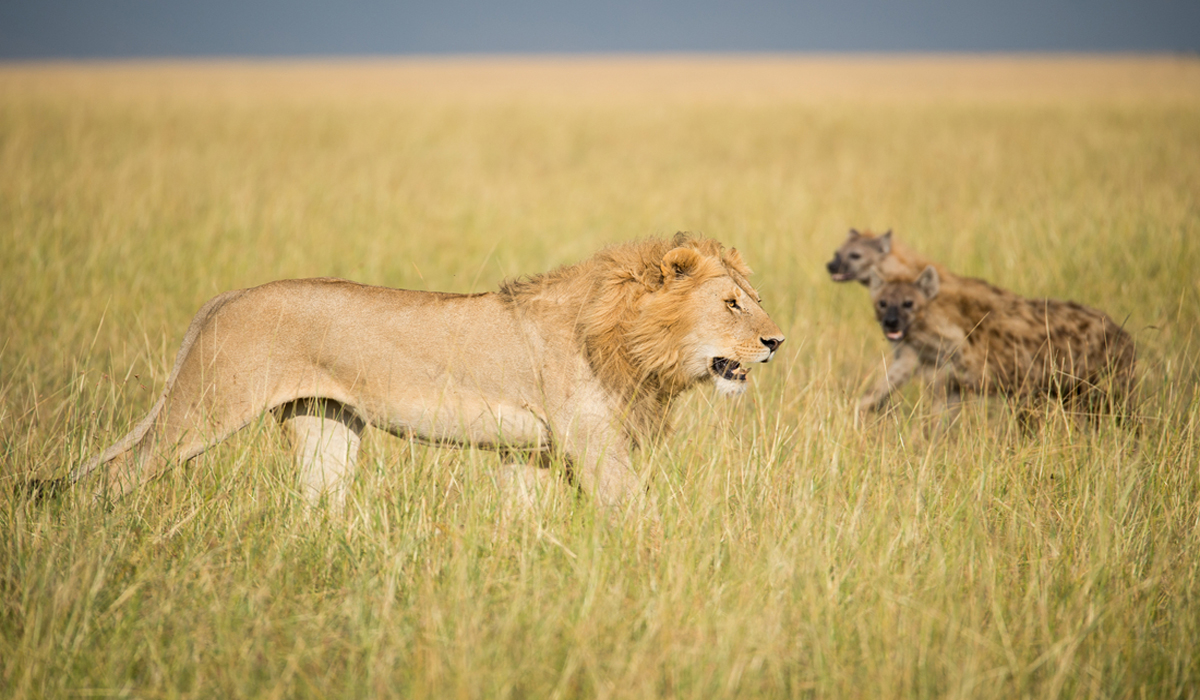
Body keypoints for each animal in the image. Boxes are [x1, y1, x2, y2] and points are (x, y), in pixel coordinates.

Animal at [65, 232, 782, 511]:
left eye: (753, 298)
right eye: (731, 303)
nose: (776, 340)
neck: (629, 341)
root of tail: (225, 297)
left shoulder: (531, 453)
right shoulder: (594, 444)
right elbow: (638, 515)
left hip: (325, 425)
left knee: (319, 504)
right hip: (207, 406)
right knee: (120, 473)